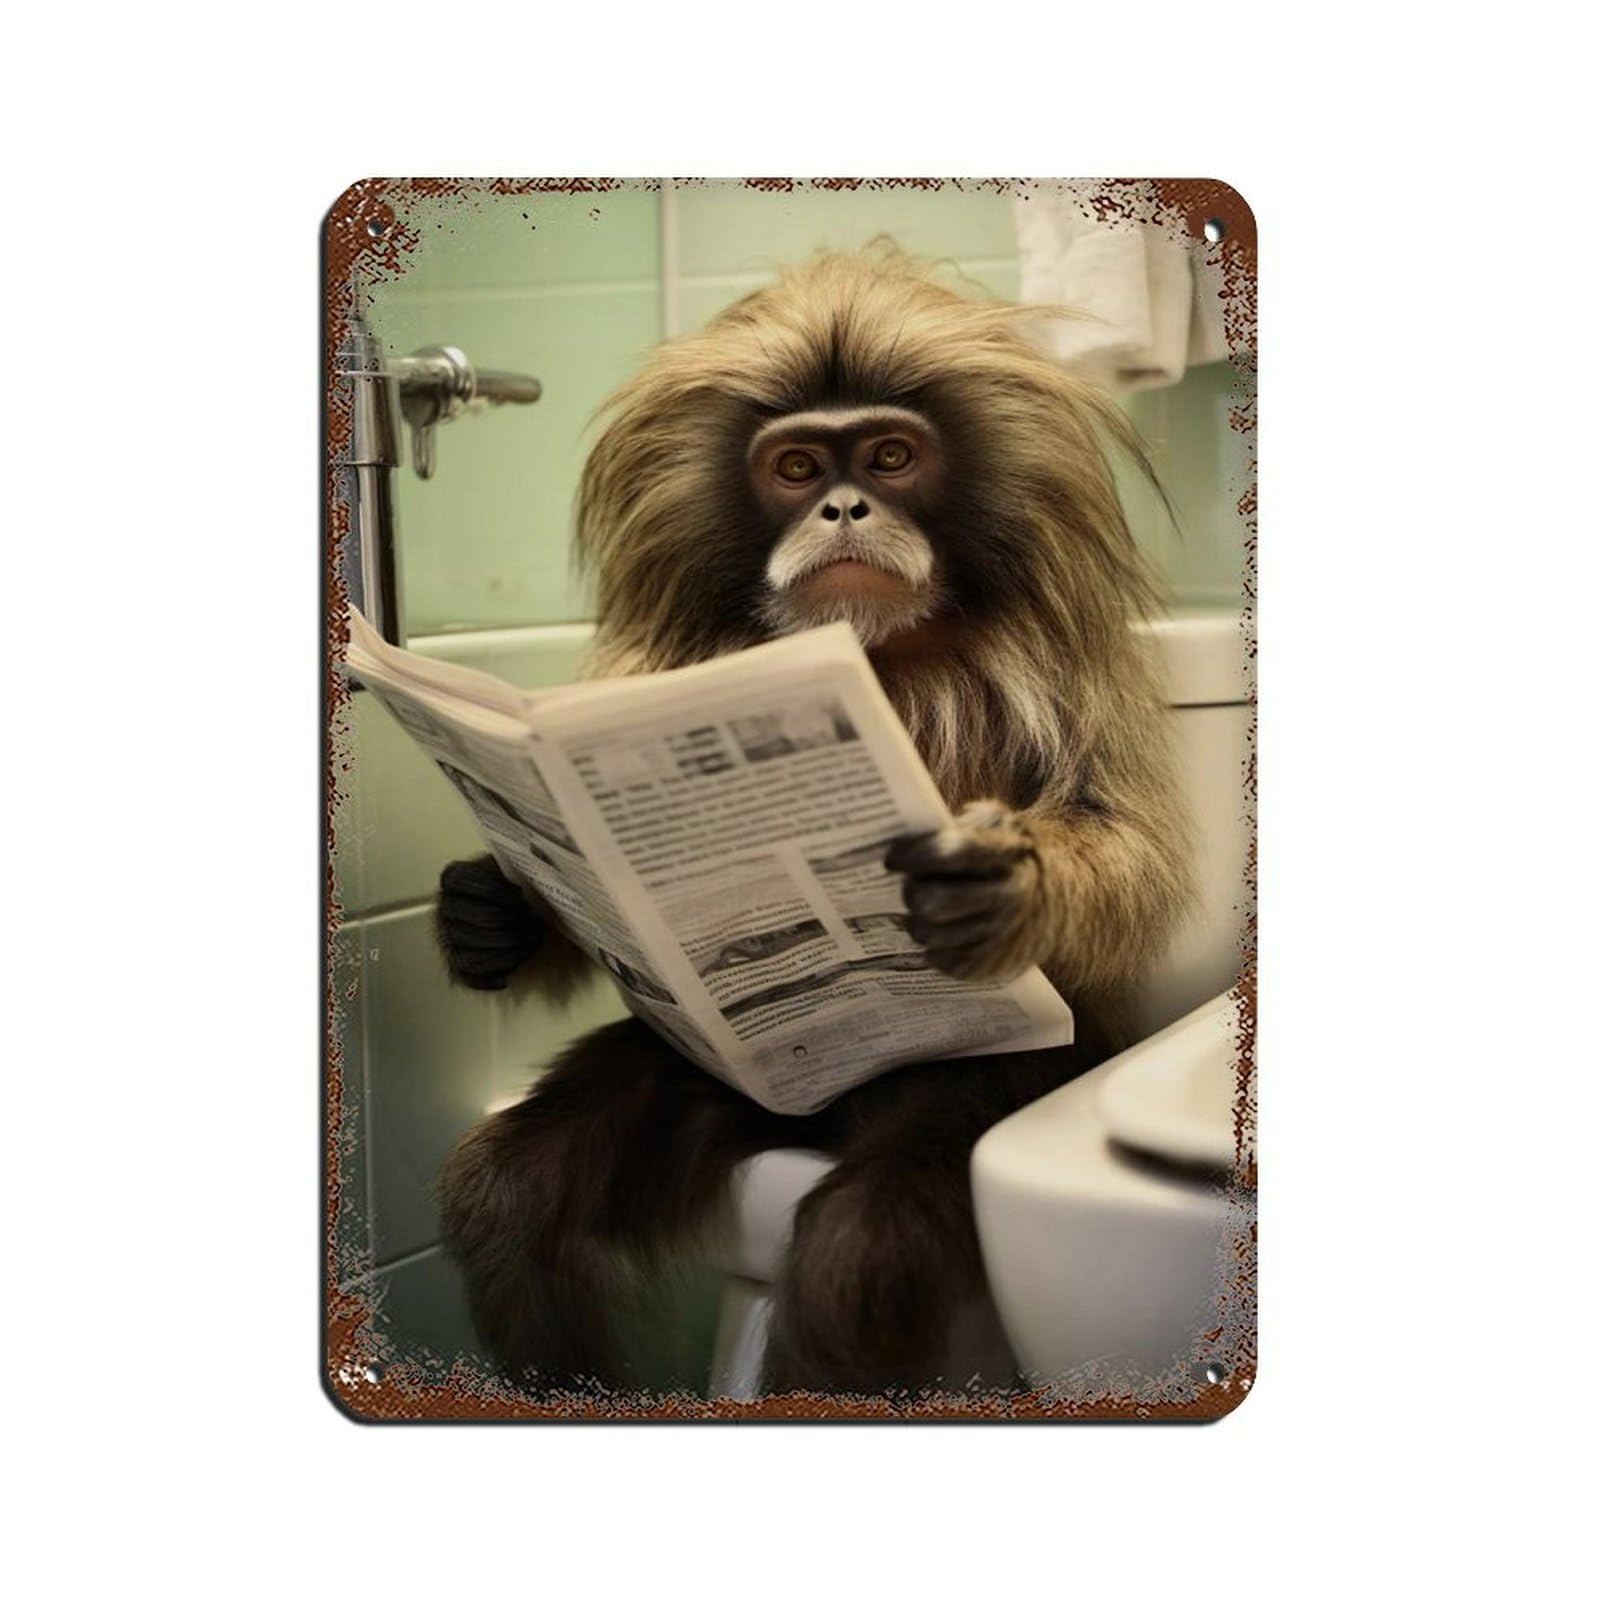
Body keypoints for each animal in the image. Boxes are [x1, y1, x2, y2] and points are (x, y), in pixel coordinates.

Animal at [435, 248, 1192, 1396]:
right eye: (796, 468)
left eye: (889, 456)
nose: (841, 507)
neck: (876, 649)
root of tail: (816, 1121)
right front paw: (494, 917)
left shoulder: (1073, 659)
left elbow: (1127, 845)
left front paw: (999, 892)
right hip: (725, 1075)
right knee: (508, 1194)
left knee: (859, 1243)